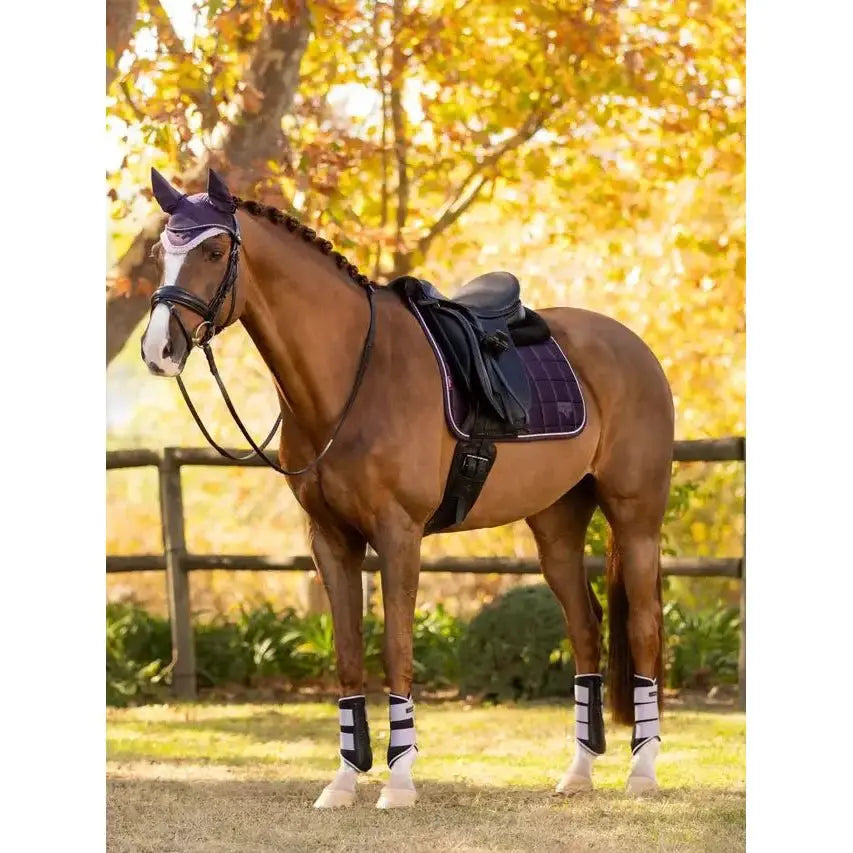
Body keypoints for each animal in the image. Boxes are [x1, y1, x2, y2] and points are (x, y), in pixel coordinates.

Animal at [140, 168, 675, 808]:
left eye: (215, 251)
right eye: (159, 253)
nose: (158, 350)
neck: (354, 374)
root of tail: (633, 346)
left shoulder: (399, 535)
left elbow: (396, 648)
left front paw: (397, 783)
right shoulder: (331, 540)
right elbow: (348, 657)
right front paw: (344, 781)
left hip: (635, 519)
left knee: (643, 628)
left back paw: (642, 772)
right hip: (557, 526)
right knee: (586, 630)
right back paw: (578, 772)